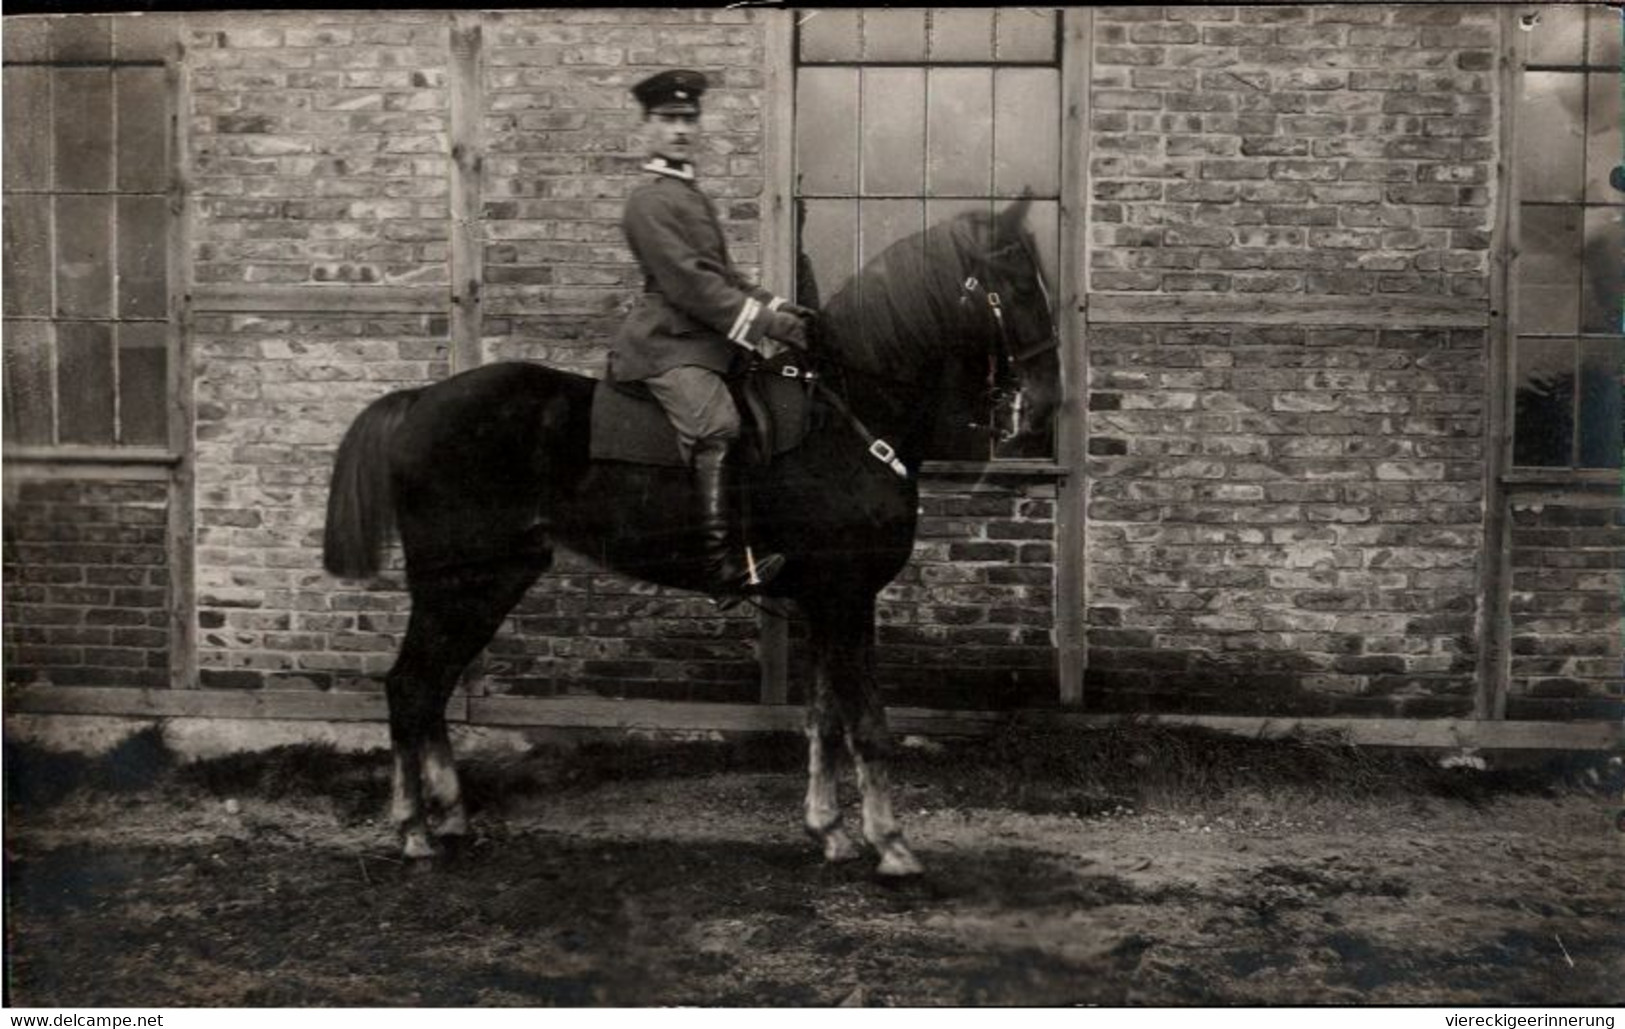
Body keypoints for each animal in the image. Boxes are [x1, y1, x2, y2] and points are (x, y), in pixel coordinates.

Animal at [323, 198, 1059, 877]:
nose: (1046, 399)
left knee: (433, 686)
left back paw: (449, 815)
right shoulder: (847, 598)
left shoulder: (826, 602)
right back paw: (413, 829)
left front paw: (830, 830)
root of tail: (420, 400)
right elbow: (869, 725)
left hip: (493, 579)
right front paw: (892, 844)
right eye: (1019, 282)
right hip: (459, 581)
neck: (848, 417)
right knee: (410, 685)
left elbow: (824, 717)